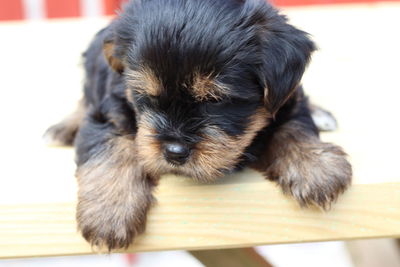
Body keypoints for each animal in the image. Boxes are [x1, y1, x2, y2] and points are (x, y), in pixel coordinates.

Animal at [44, 0, 350, 251]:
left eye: (216, 100)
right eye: (145, 95)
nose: (174, 152)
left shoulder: (285, 98)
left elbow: (293, 125)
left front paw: (315, 165)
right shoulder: (106, 112)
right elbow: (108, 148)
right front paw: (110, 211)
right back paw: (64, 127)